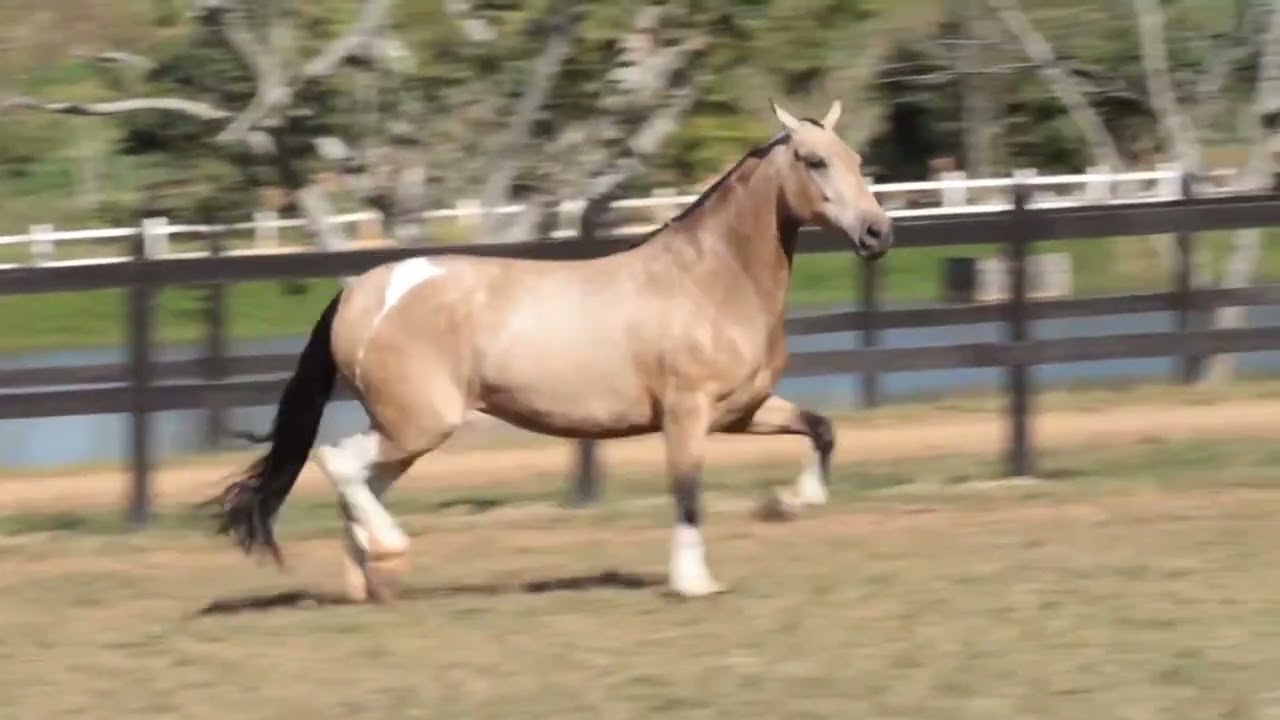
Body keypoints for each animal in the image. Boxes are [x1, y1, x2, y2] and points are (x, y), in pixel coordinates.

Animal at [204, 99, 896, 599]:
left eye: (858, 157)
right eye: (813, 161)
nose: (877, 234)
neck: (708, 280)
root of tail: (359, 292)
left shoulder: (742, 411)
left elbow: (821, 429)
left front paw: (788, 503)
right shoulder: (686, 413)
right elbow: (687, 492)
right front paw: (693, 583)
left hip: (404, 431)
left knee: (361, 479)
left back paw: (372, 579)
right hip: (420, 422)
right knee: (338, 462)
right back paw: (390, 552)